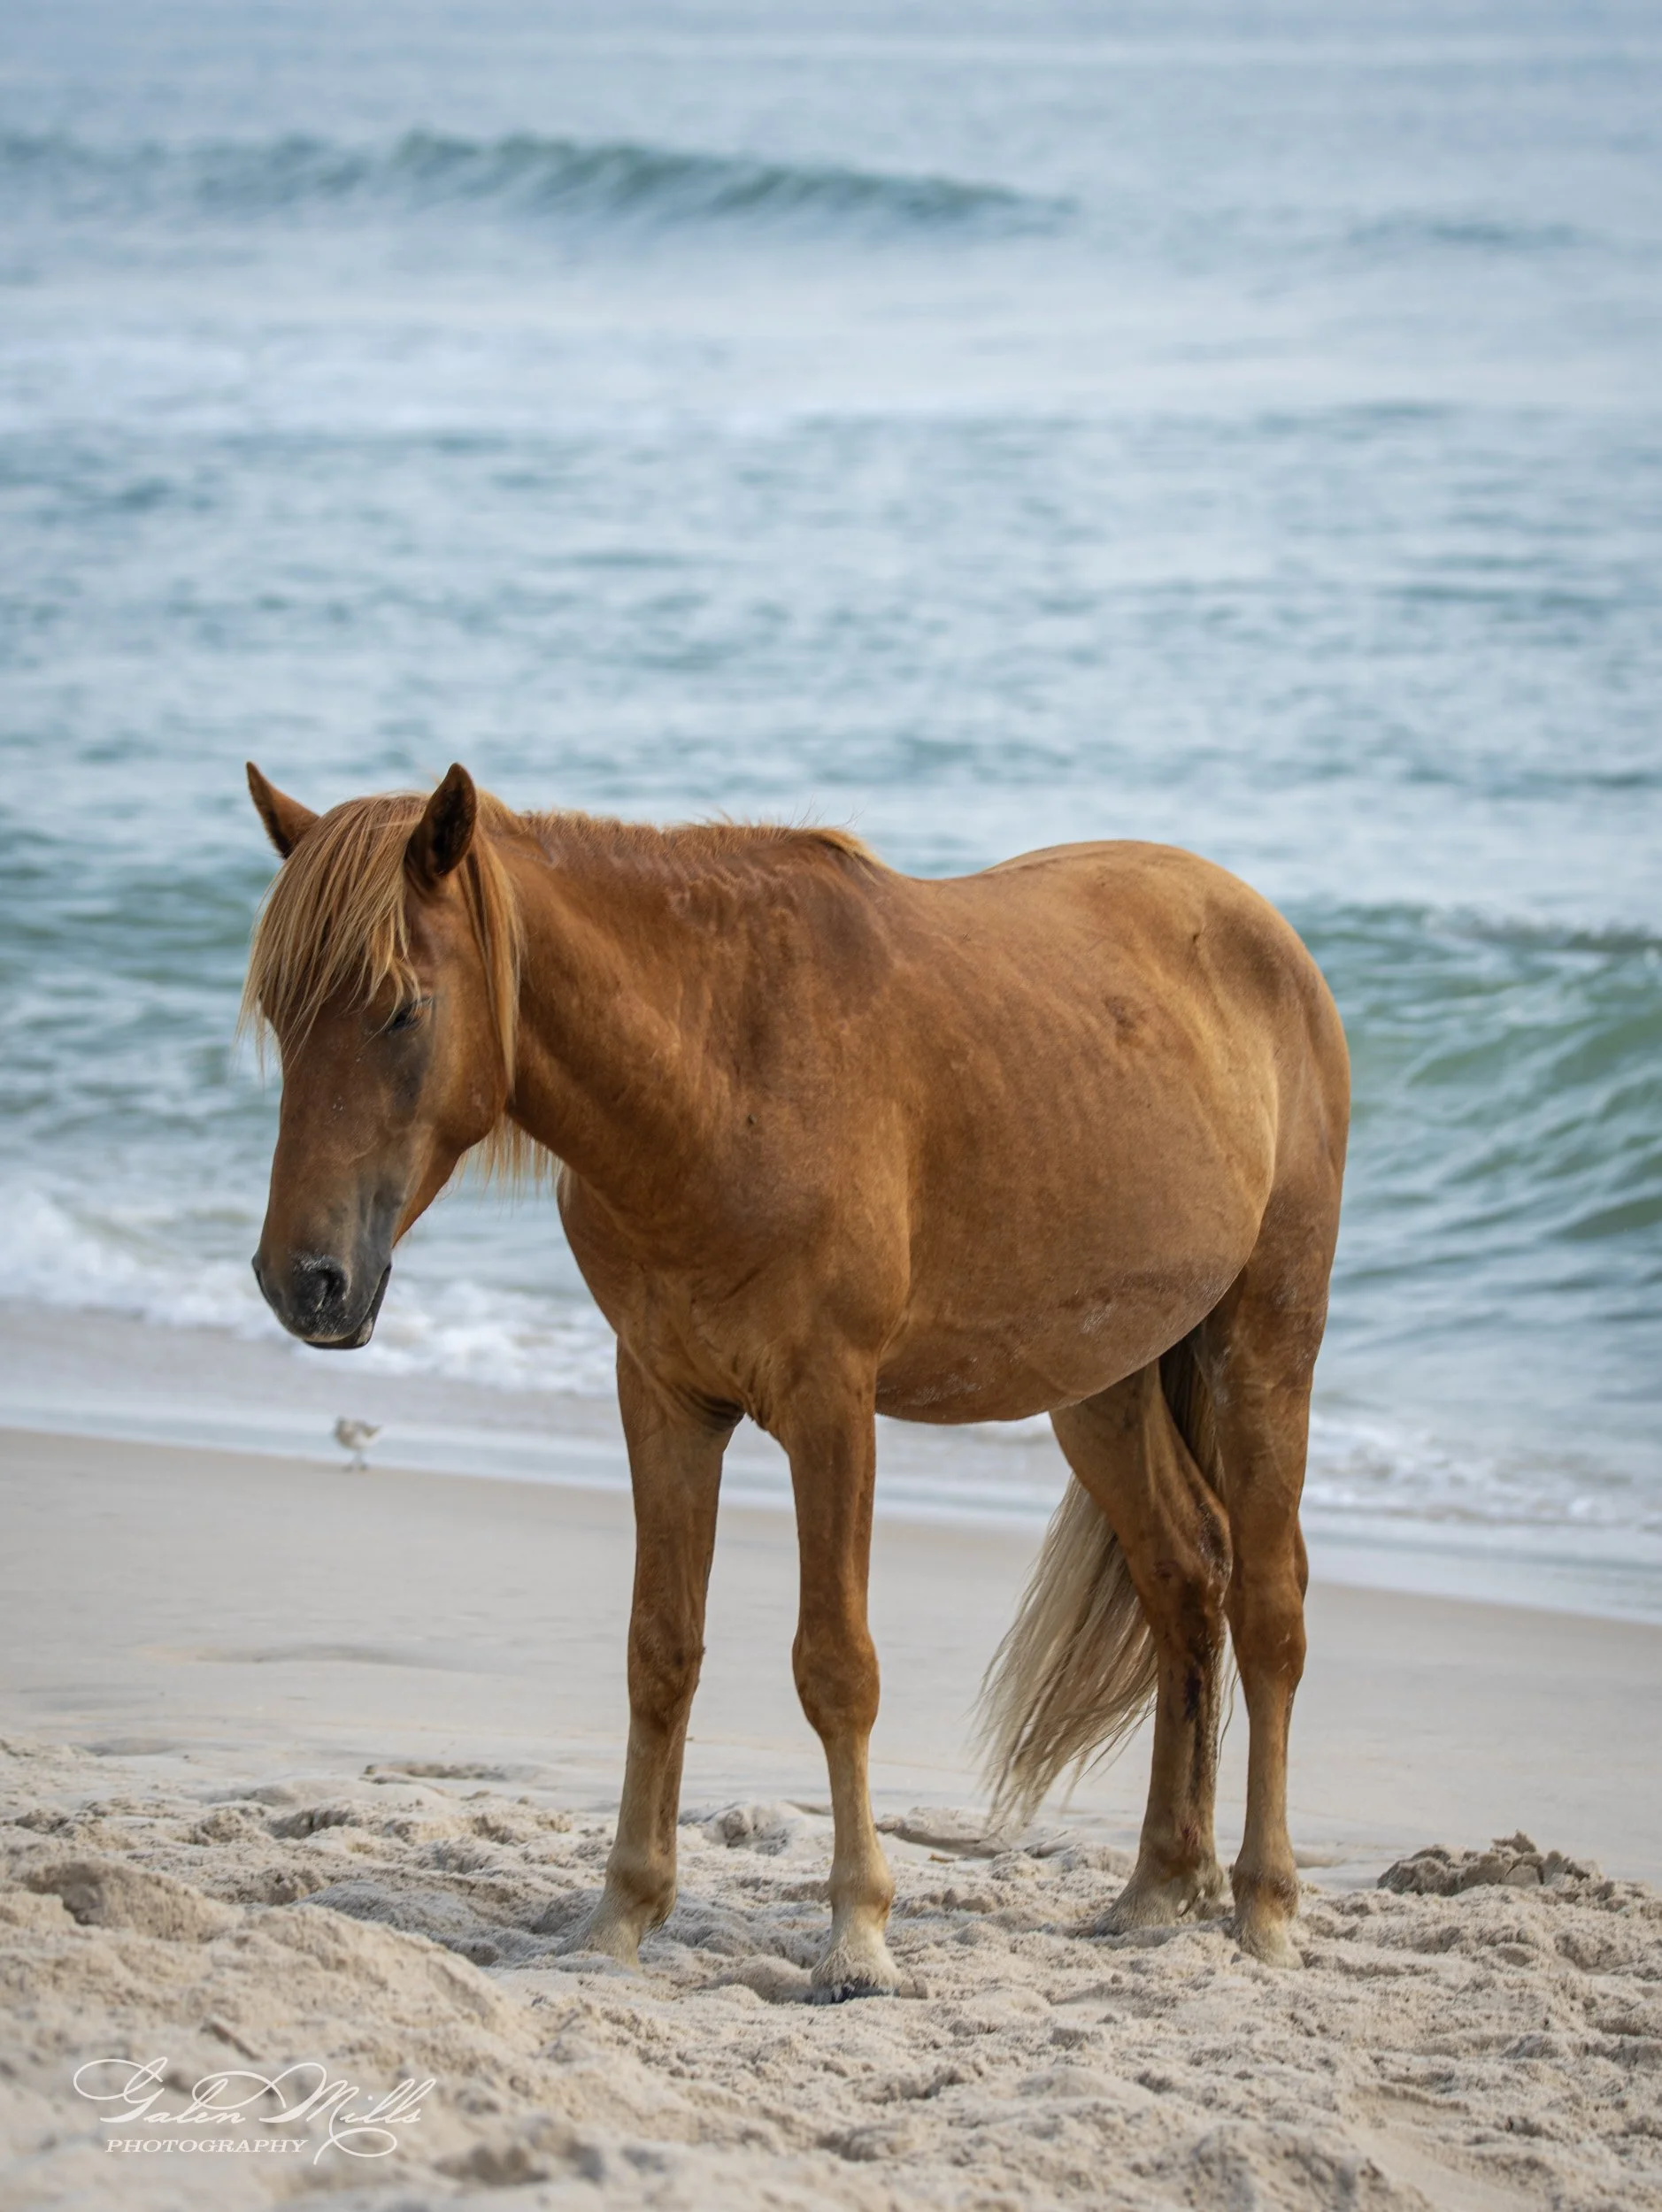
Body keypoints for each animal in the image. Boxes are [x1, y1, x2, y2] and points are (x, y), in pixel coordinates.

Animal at [242, 762, 1348, 1997]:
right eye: (280, 1013)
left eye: (400, 1007)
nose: (305, 1282)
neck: (723, 1070)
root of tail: (1265, 933)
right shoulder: (664, 1400)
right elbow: (660, 1651)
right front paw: (621, 1914)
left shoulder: (831, 1408)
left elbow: (836, 1667)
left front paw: (858, 1935)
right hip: (1099, 1384)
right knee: (1184, 1578)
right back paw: (1161, 1885)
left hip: (1266, 1344)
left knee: (1269, 1611)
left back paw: (1263, 1907)